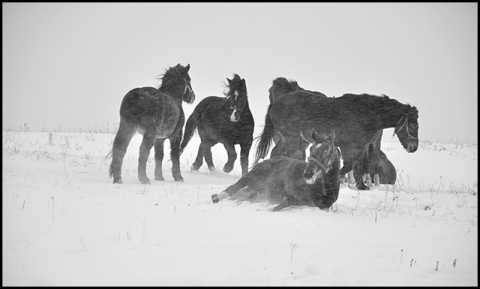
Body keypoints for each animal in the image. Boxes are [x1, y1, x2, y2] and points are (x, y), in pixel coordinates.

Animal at [211, 129, 342, 210]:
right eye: (311, 149)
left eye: (326, 151)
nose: (308, 174)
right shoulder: (293, 198)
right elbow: (278, 207)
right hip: (251, 177)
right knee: (234, 187)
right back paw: (216, 197)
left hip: (255, 188)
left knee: (244, 195)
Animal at [256, 92, 418, 190]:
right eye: (412, 125)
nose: (414, 148)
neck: (364, 115)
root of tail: (276, 102)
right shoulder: (347, 146)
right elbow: (349, 166)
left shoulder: (360, 148)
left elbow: (358, 166)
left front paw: (362, 186)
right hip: (292, 137)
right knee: (291, 155)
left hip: (294, 139)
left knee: (277, 153)